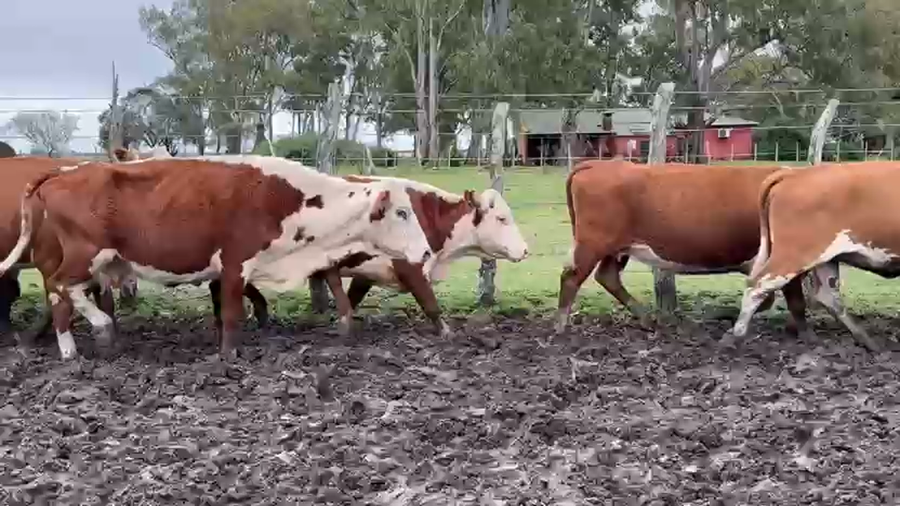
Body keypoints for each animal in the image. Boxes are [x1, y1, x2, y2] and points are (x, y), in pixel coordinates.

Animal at [0, 155, 433, 360]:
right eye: (401, 212)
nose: (426, 250)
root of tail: (64, 170)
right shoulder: (235, 263)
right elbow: (231, 313)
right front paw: (228, 355)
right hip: (85, 254)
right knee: (60, 286)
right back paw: (98, 328)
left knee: (59, 298)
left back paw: (70, 350)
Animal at [207, 175, 530, 336]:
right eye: (502, 218)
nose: (525, 250)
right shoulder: (411, 266)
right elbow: (431, 304)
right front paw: (447, 333)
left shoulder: (369, 273)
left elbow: (351, 299)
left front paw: (343, 326)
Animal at [556, 159, 813, 335]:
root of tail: (598, 164)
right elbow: (793, 300)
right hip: (593, 243)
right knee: (571, 278)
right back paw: (561, 326)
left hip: (617, 248)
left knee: (607, 276)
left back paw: (648, 320)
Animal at [728, 161, 900, 353]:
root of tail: (797, 174)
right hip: (795, 255)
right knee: (757, 286)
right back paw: (737, 337)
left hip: (827, 258)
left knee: (829, 296)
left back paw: (867, 341)